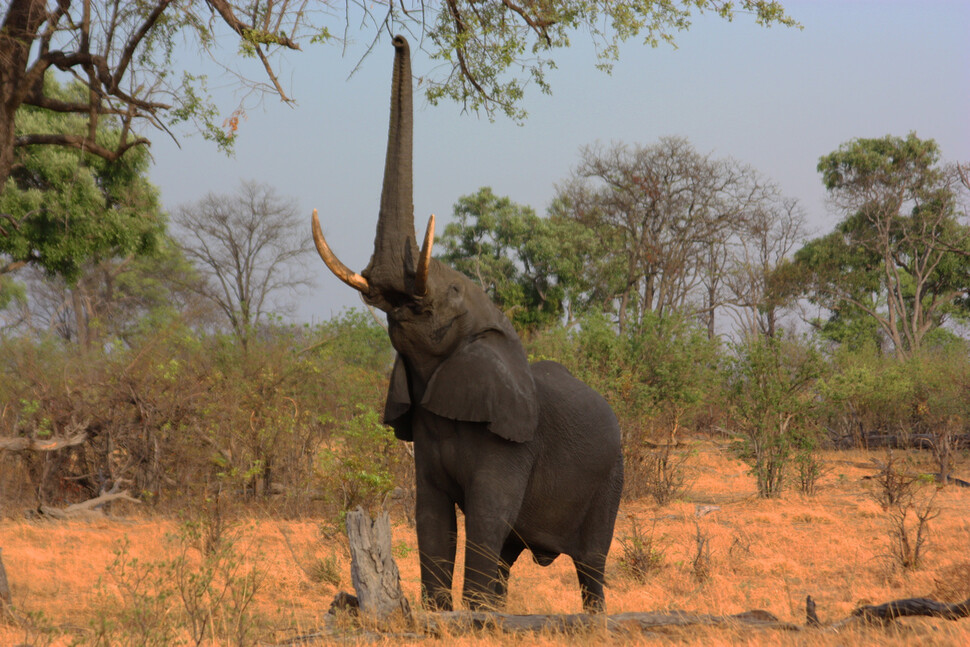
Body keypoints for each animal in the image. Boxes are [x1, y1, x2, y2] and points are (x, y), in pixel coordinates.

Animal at [312, 35, 628, 612]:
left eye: (453, 294)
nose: (398, 39)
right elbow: (432, 519)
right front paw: (442, 616)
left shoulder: (512, 442)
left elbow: (484, 517)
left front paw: (467, 618)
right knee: (508, 554)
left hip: (612, 477)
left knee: (591, 563)